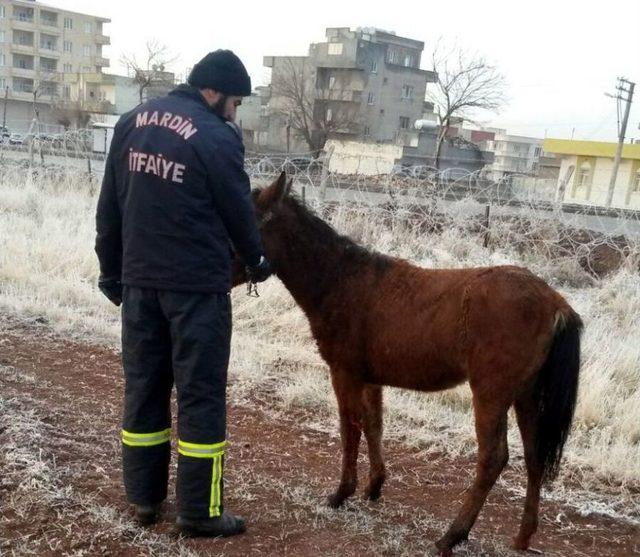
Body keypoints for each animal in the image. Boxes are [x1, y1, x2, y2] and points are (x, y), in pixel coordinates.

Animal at [236, 172, 584, 552]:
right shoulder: (370, 378)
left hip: (492, 394)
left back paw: (453, 535)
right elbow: (373, 425)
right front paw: (374, 486)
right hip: (527, 396)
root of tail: (555, 303)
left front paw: (341, 493)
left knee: (493, 459)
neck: (341, 281)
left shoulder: (344, 373)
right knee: (535, 457)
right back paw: (521, 536)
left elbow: (349, 428)